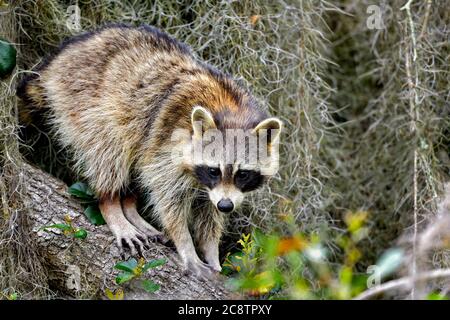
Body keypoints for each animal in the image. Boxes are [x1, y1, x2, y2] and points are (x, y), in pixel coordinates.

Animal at [20, 25, 284, 278]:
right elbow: (167, 197)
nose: (226, 206)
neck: (231, 110)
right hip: (84, 100)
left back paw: (130, 206)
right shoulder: (167, 144)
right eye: (213, 171)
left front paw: (211, 251)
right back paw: (111, 203)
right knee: (111, 148)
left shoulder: (211, 187)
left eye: (243, 174)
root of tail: (61, 56)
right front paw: (186, 245)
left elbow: (208, 211)